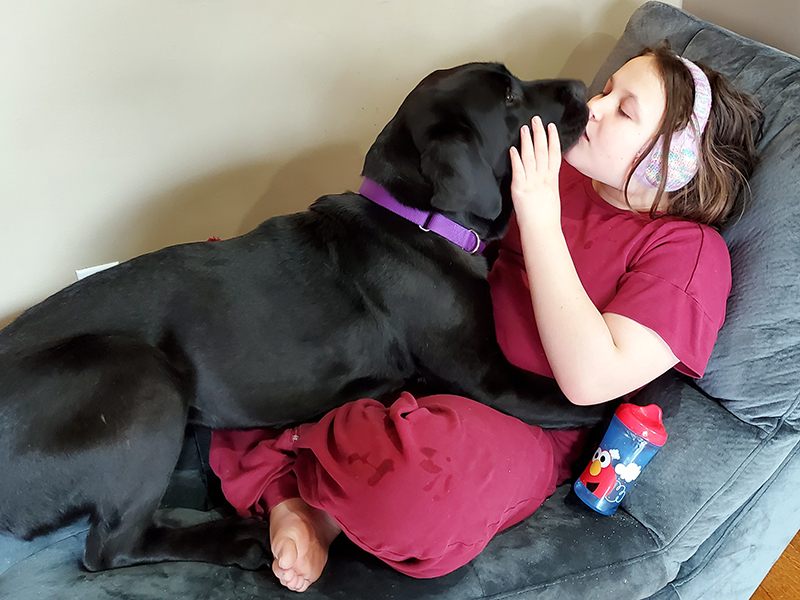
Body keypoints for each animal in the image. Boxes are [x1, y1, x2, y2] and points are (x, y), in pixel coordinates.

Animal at [0, 62, 588, 572]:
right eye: (509, 96)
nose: (583, 85)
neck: (416, 218)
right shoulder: (492, 378)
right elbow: (585, 398)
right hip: (140, 376)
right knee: (111, 548)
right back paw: (237, 539)